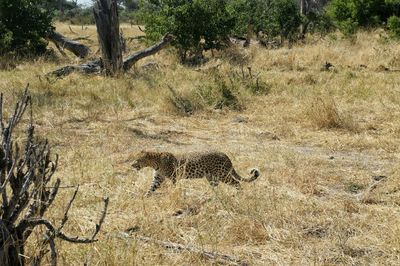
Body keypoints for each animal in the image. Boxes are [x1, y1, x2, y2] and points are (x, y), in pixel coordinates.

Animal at [131, 151, 260, 196]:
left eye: (137, 159)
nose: (132, 165)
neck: (155, 162)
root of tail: (225, 155)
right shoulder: (158, 178)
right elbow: (151, 188)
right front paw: (145, 197)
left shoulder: (173, 177)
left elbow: (174, 186)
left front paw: (175, 193)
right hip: (212, 177)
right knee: (216, 186)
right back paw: (212, 195)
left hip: (223, 174)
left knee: (237, 182)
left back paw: (240, 194)